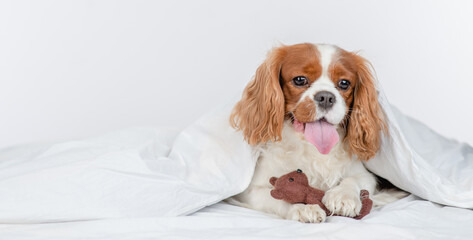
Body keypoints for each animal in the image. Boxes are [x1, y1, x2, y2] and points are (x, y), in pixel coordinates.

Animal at [227, 43, 396, 223]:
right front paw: (302, 207)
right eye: (300, 80)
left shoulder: (365, 175)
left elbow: (355, 179)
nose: (326, 97)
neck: (311, 147)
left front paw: (343, 196)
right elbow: (275, 195)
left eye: (344, 83)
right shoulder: (250, 191)